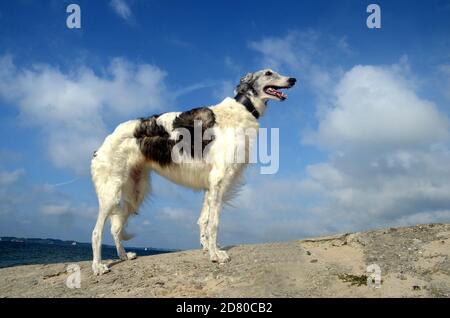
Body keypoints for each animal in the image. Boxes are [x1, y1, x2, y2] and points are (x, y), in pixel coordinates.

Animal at [90, 68, 298, 274]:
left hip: (135, 192)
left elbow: (203, 221)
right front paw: (216, 255)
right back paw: (98, 266)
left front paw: (208, 249)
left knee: (115, 227)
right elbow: (214, 223)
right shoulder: (218, 180)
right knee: (96, 232)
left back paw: (124, 256)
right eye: (269, 73)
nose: (293, 80)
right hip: (111, 194)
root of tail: (101, 146)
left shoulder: (210, 185)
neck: (242, 108)